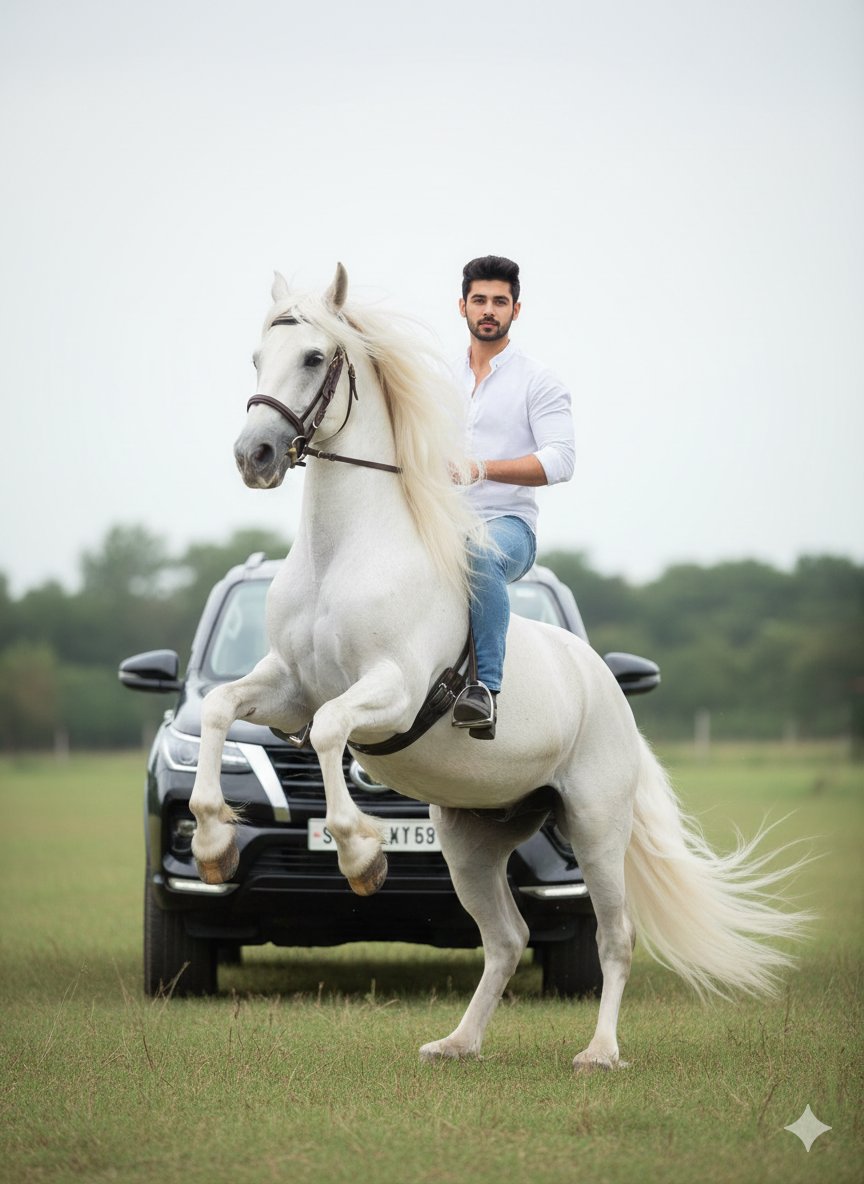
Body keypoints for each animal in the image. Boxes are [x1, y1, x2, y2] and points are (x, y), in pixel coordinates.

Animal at [189, 264, 809, 1070]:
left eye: (315, 357)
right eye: (257, 358)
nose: (254, 457)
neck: (343, 555)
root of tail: (608, 686)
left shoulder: (390, 692)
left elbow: (328, 732)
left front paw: (360, 855)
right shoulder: (286, 688)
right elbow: (219, 708)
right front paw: (212, 843)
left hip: (596, 827)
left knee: (615, 937)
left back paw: (599, 1053)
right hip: (470, 842)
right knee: (508, 938)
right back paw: (458, 1042)